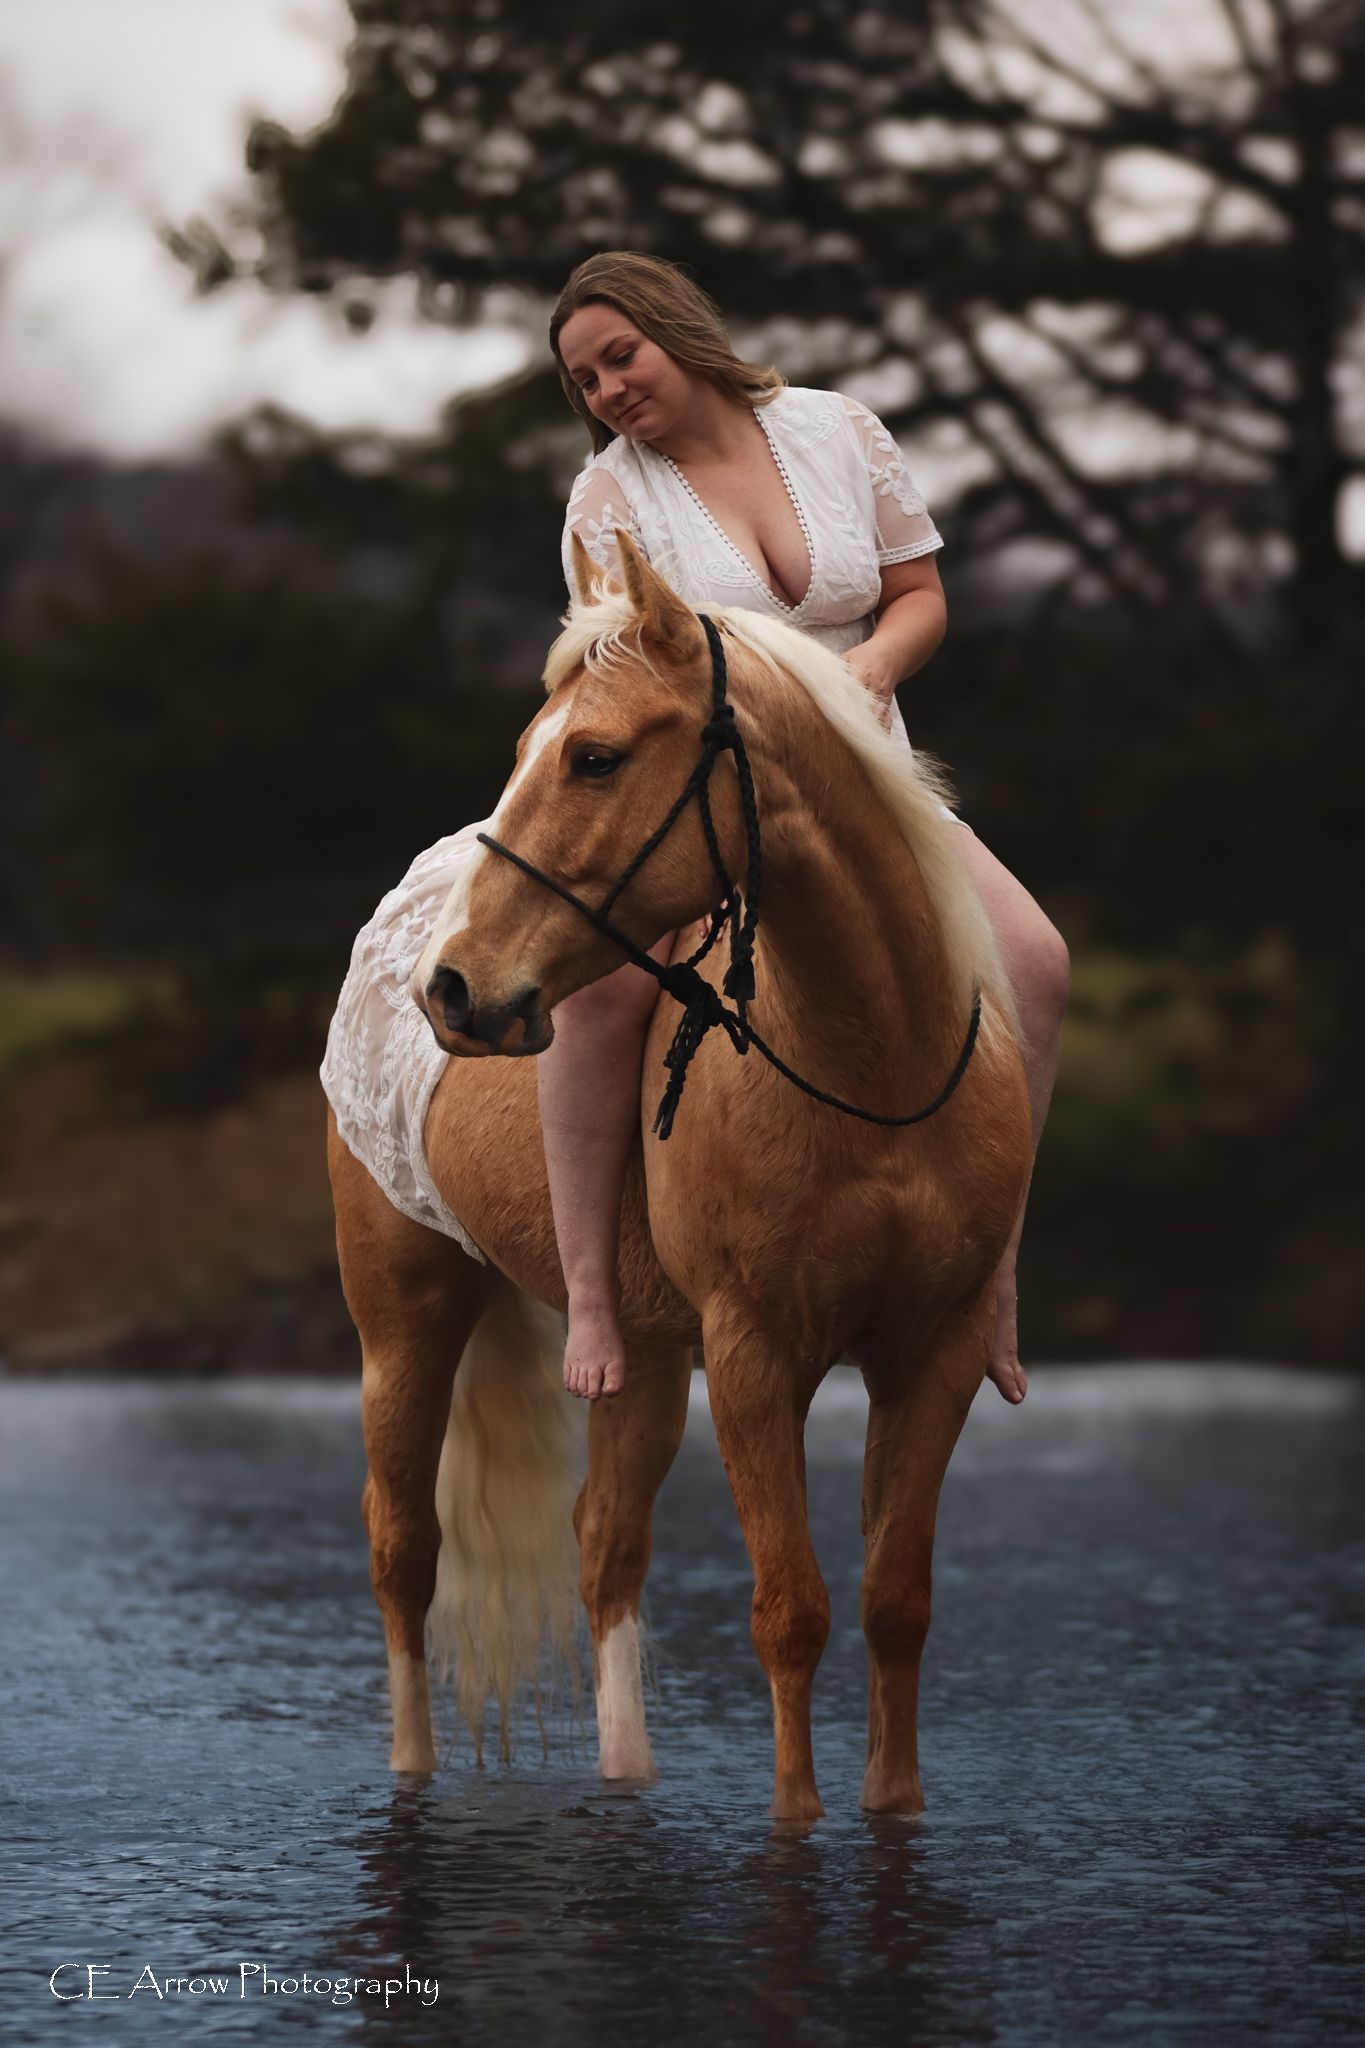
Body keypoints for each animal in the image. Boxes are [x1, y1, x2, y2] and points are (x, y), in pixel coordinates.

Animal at [326, 530, 1032, 1821]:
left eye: (595, 756)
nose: (452, 986)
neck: (873, 1069)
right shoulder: (756, 1357)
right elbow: (791, 1609)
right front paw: (797, 1818)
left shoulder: (938, 1351)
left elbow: (893, 1604)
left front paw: (890, 1802)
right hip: (403, 1321)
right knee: (402, 1547)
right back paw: (411, 1766)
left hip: (643, 1354)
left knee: (605, 1541)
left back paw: (628, 1772)